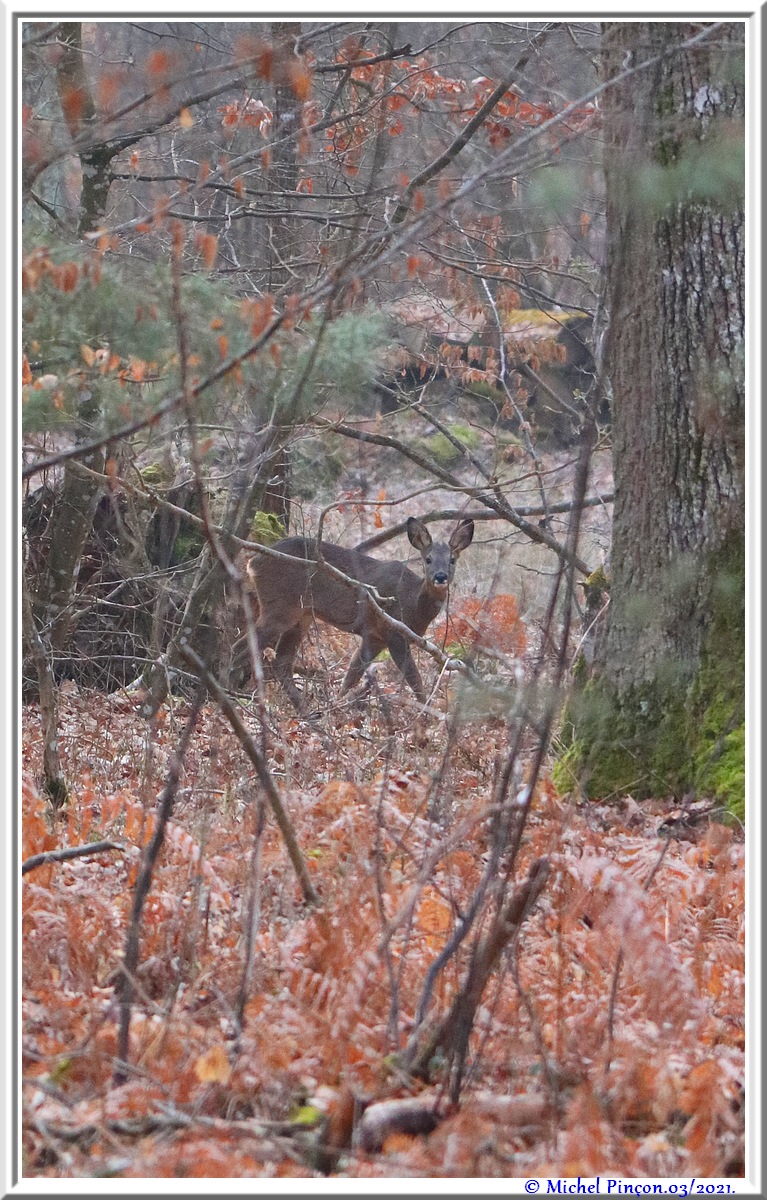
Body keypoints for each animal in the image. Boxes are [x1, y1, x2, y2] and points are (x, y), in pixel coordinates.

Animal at [246, 518, 475, 710]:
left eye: (452, 560)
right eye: (428, 559)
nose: (440, 576)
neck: (413, 604)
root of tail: (253, 563)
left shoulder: (375, 637)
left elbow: (352, 675)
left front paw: (337, 706)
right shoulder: (394, 632)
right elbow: (414, 679)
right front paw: (427, 715)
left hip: (301, 615)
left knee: (281, 661)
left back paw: (306, 711)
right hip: (279, 606)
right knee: (249, 642)